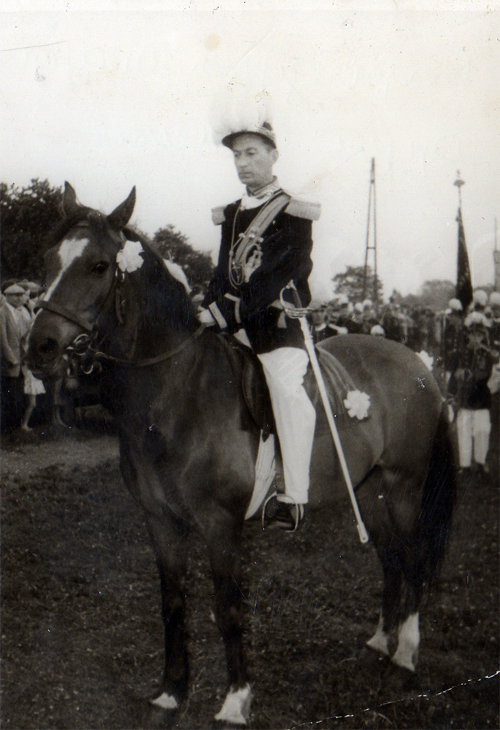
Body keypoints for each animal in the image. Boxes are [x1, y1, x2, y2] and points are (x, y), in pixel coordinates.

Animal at [27, 183, 456, 726]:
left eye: (100, 266)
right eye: (47, 259)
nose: (37, 347)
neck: (177, 391)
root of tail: (419, 363)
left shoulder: (220, 524)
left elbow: (227, 607)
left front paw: (235, 699)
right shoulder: (160, 521)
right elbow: (173, 602)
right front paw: (171, 692)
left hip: (403, 487)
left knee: (415, 559)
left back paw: (406, 653)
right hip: (371, 491)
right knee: (392, 558)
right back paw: (383, 640)